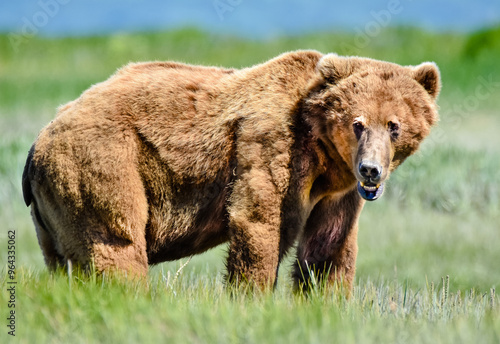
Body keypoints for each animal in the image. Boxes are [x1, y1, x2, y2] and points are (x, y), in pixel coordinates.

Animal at [21, 51, 440, 292]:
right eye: (357, 123)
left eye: (394, 126)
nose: (370, 171)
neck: (322, 152)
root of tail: (39, 139)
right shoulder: (272, 143)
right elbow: (261, 222)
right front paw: (251, 296)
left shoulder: (337, 191)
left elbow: (328, 245)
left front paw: (325, 301)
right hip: (101, 162)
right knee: (115, 243)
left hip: (52, 211)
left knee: (64, 262)